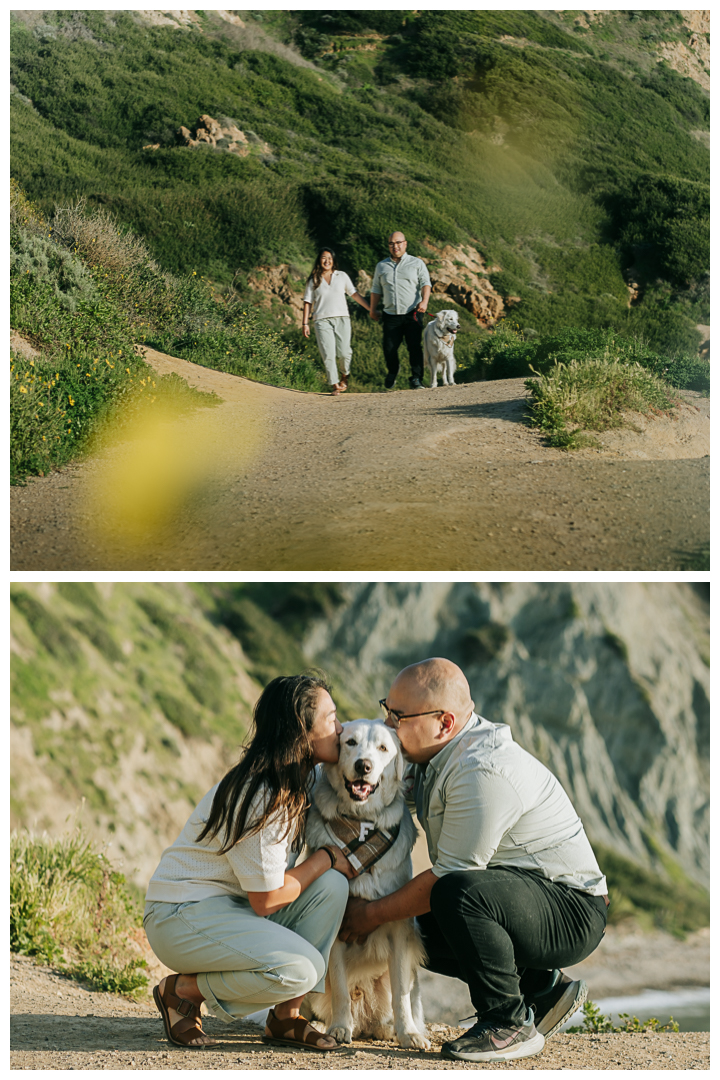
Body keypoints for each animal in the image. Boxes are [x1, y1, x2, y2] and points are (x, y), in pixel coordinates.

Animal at [304, 721, 427, 1049]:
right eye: (350, 742)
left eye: (383, 748)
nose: (364, 766)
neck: (361, 828)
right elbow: (340, 988)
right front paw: (338, 1028)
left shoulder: (400, 930)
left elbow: (401, 994)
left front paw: (408, 1033)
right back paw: (320, 1025)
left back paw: (389, 1028)